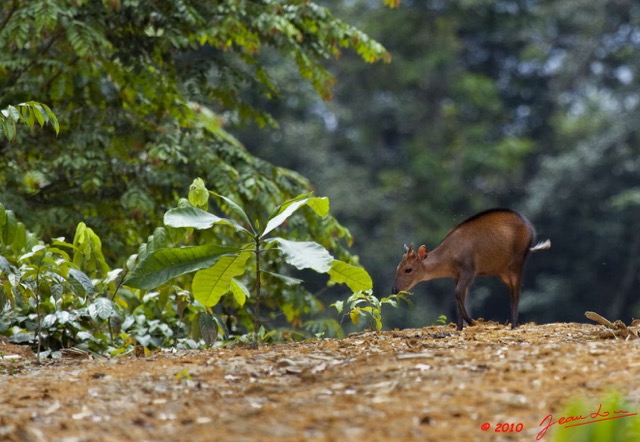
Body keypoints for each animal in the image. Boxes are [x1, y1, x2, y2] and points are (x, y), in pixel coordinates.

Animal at [390, 209, 552, 330]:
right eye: (397, 267)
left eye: (408, 269)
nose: (394, 289)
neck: (449, 257)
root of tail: (531, 238)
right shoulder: (456, 275)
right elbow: (458, 295)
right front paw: (459, 327)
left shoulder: (469, 270)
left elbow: (458, 293)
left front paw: (472, 322)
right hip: (503, 270)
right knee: (513, 291)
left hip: (518, 261)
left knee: (516, 292)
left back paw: (513, 324)